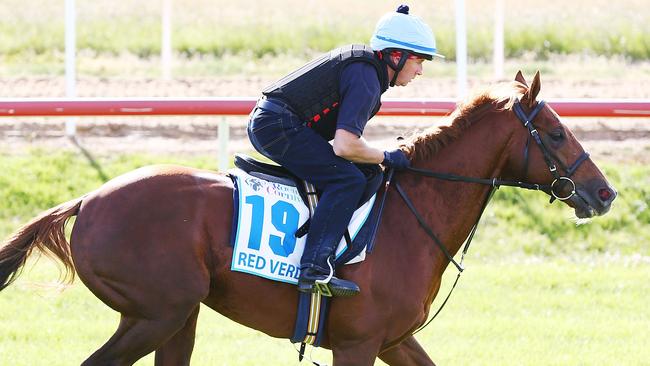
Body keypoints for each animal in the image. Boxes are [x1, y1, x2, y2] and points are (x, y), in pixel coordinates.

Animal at [0, 72, 616, 366]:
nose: (604, 192)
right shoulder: (358, 344)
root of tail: (88, 200)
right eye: (555, 133)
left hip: (176, 317)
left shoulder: (394, 340)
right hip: (157, 312)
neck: (410, 214)